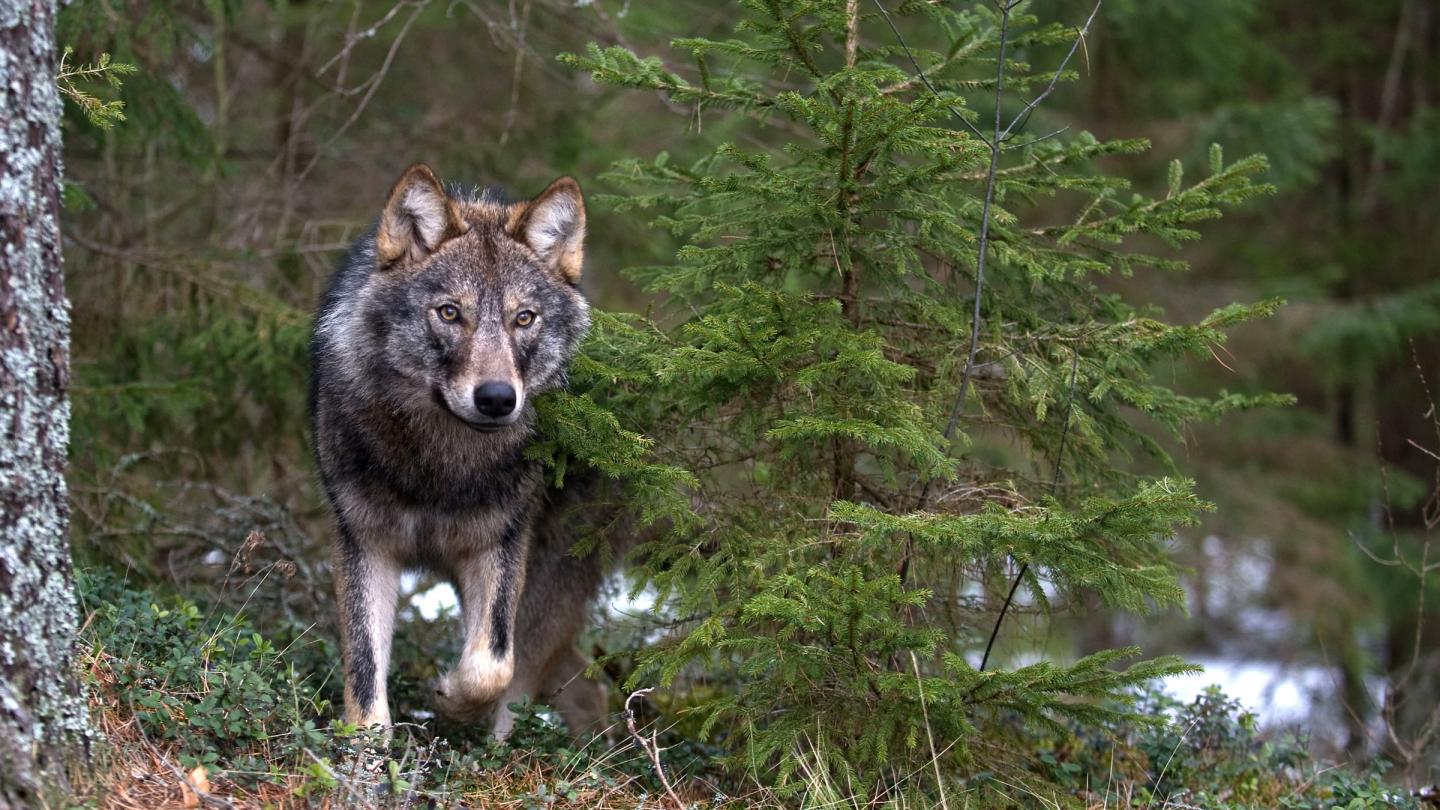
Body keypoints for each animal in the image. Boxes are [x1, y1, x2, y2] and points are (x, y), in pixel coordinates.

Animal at [310, 163, 610, 737]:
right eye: (450, 313)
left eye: (523, 318)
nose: (496, 398)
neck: (440, 468)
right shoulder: (363, 541)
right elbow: (364, 666)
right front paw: (366, 750)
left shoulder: (501, 544)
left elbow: (491, 664)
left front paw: (449, 699)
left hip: (543, 586)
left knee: (531, 678)